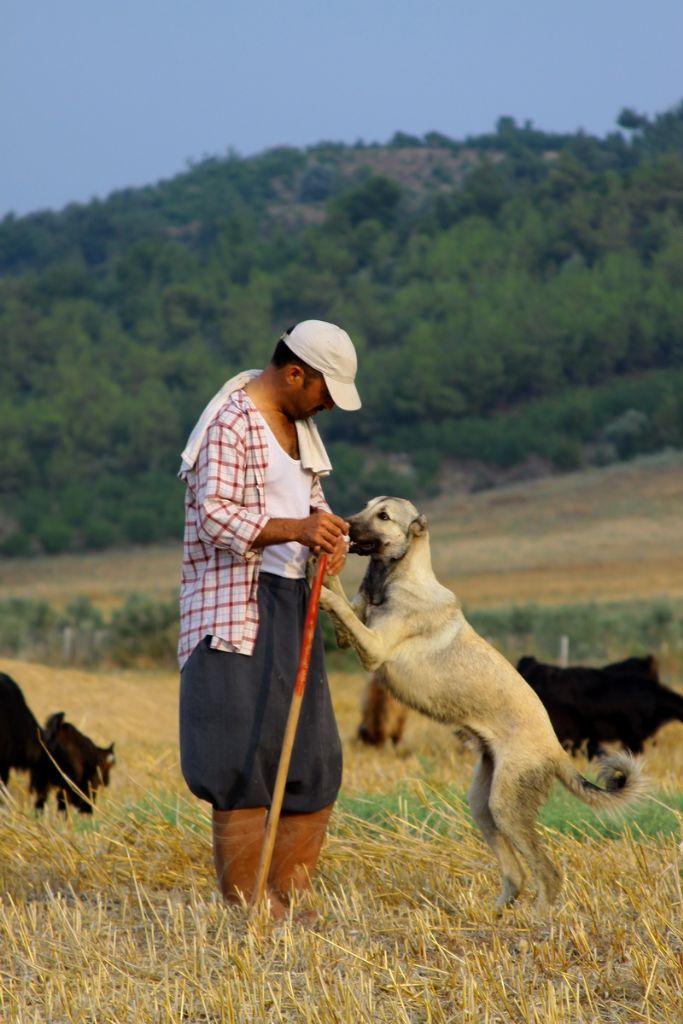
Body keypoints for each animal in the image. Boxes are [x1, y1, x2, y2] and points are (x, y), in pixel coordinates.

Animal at [321, 495, 647, 913]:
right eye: (366, 506)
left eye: (383, 515)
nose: (343, 523)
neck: (397, 575)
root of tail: (555, 749)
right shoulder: (352, 635)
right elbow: (344, 602)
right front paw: (319, 567)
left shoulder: (374, 649)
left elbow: (340, 604)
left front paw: (319, 586)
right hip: (482, 804)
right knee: (517, 873)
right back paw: (495, 914)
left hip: (506, 806)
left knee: (547, 873)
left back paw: (538, 919)